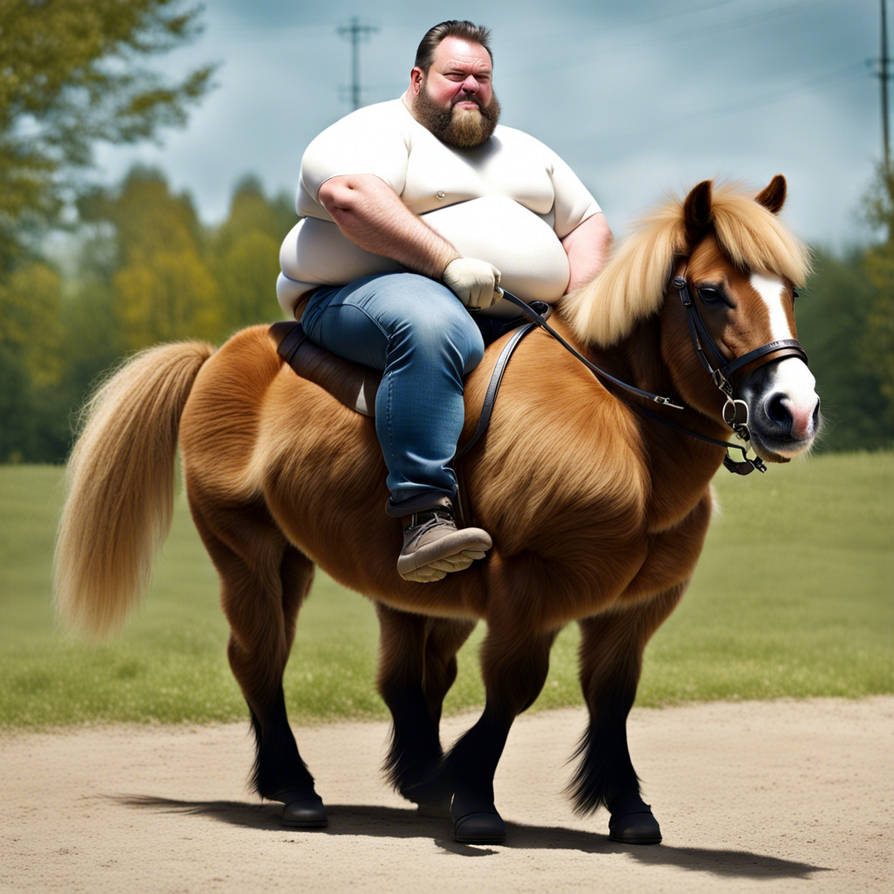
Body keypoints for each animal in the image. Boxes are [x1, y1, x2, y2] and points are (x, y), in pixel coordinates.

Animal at [54, 176, 819, 846]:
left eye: (793, 291)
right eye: (714, 293)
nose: (795, 410)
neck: (622, 426)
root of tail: (216, 354)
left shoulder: (638, 606)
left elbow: (612, 697)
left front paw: (626, 807)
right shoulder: (528, 587)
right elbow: (513, 687)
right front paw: (472, 796)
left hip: (395, 580)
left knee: (405, 675)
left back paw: (414, 778)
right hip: (251, 554)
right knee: (259, 658)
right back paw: (296, 787)